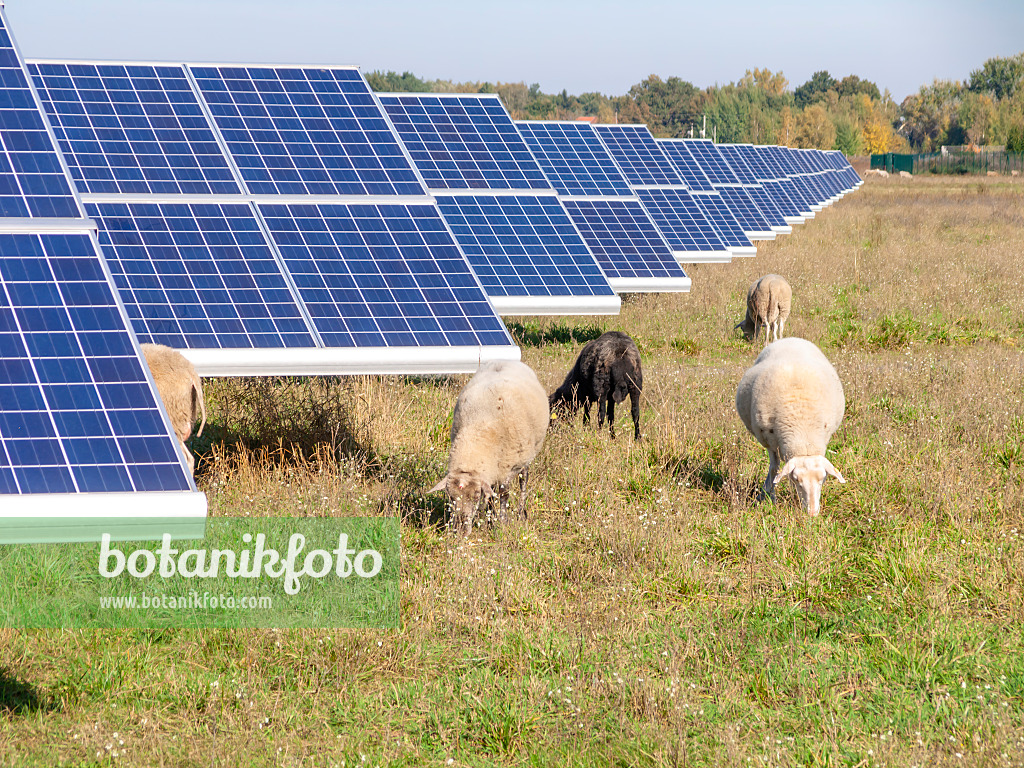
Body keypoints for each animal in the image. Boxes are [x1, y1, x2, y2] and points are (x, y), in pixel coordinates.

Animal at [425, 360, 548, 536]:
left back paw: (521, 512)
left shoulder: (507, 468)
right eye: (450, 497)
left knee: (524, 479)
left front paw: (502, 521)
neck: (479, 431)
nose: (460, 531)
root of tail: (507, 360)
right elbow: (490, 495)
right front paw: (491, 519)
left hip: (526, 454)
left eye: (476, 498)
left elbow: (503, 494)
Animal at [737, 337, 847, 514]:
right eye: (797, 481)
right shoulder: (769, 440)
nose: (812, 514)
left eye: (823, 480)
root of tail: (791, 339)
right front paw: (770, 497)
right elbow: (774, 469)